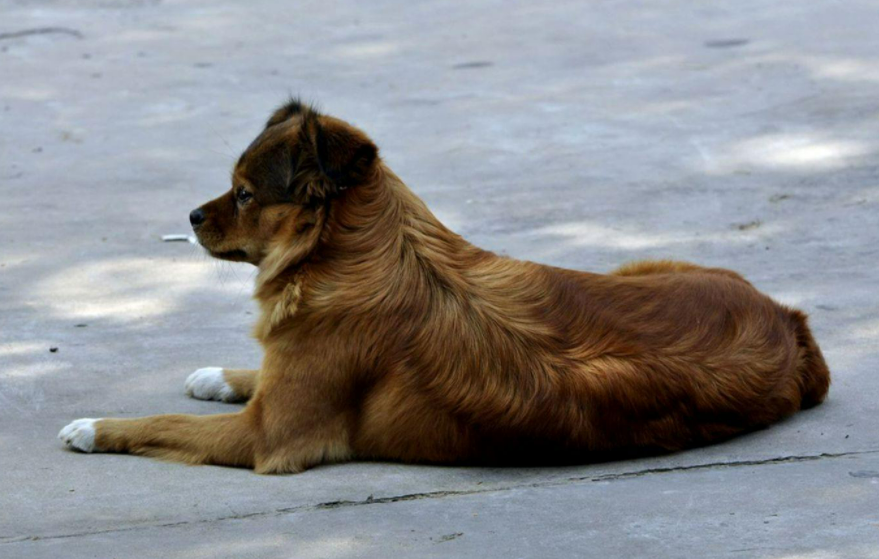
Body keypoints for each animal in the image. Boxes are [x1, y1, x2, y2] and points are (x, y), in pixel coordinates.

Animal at [56, 99, 832, 472]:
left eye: (244, 194)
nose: (189, 217)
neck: (350, 255)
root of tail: (789, 322)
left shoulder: (268, 434)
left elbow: (162, 424)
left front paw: (93, 427)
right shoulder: (281, 386)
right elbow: (249, 376)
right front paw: (218, 374)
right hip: (638, 267)